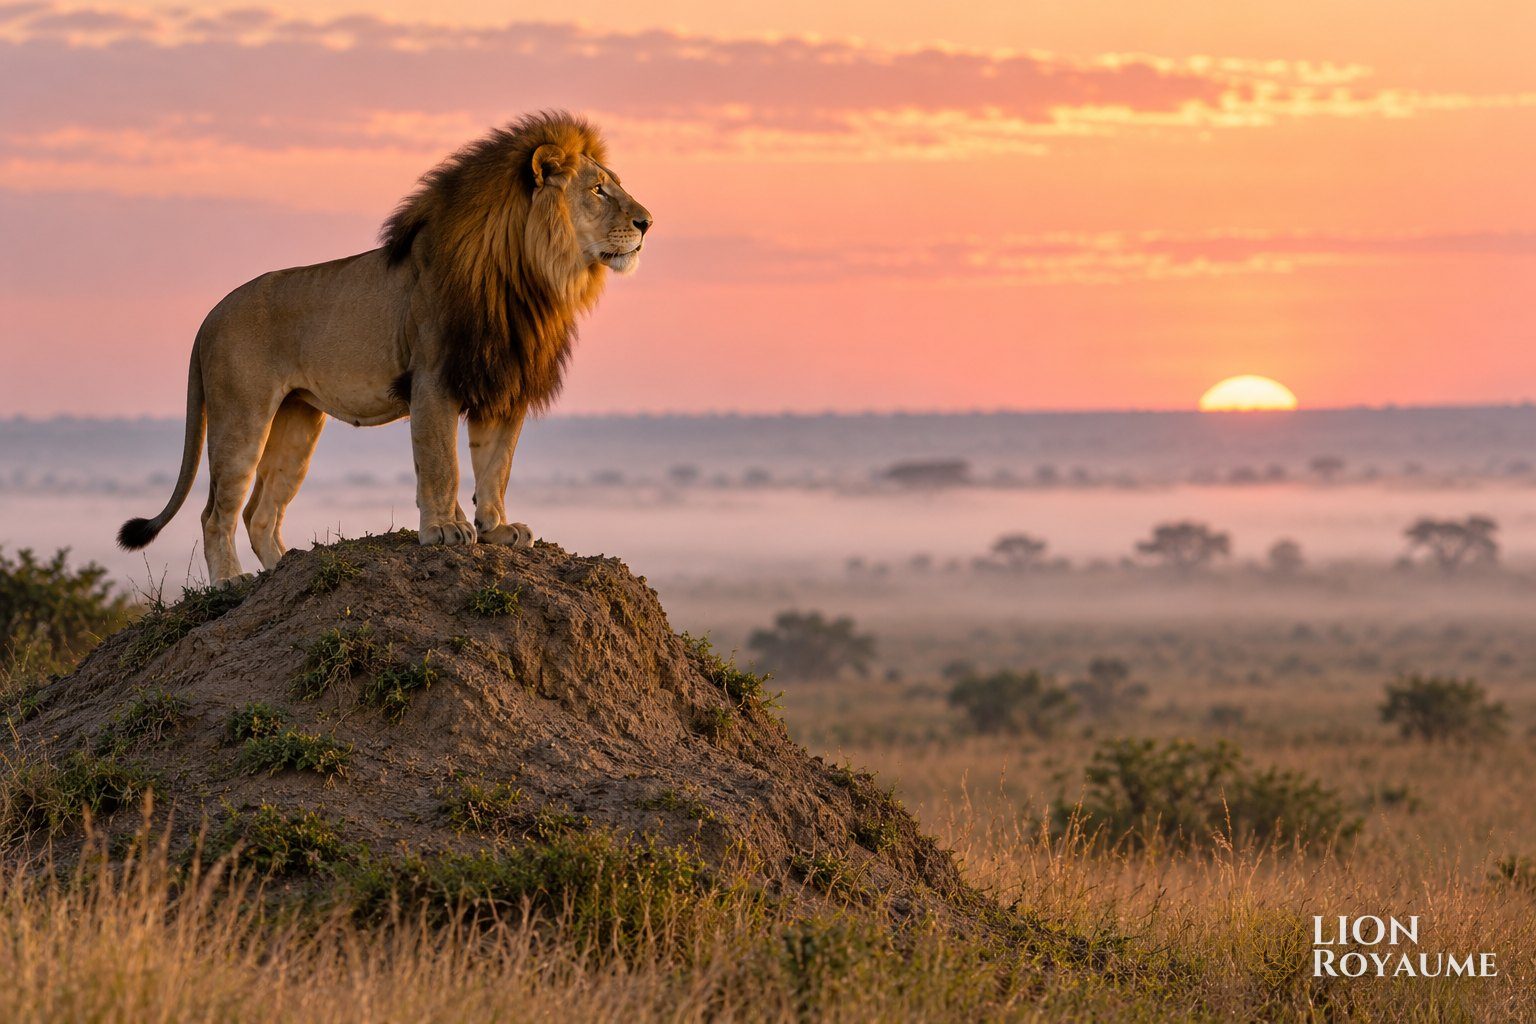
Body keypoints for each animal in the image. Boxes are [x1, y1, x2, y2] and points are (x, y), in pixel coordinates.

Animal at [117, 111, 652, 582]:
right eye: (598, 189)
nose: (647, 222)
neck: (529, 276)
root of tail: (210, 315)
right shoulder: (434, 379)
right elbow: (441, 463)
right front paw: (445, 530)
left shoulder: (502, 380)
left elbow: (495, 465)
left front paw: (497, 528)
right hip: (242, 416)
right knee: (217, 512)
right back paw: (229, 581)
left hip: (297, 422)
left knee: (259, 513)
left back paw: (286, 568)